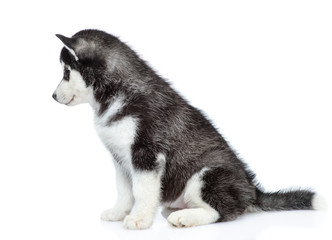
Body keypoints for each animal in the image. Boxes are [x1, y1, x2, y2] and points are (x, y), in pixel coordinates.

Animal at [53, 29, 320, 229]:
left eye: (66, 72)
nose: (52, 96)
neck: (117, 93)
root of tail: (253, 191)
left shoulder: (146, 155)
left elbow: (142, 190)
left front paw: (139, 218)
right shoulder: (120, 158)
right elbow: (125, 189)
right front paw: (120, 212)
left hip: (207, 175)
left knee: (222, 212)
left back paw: (185, 217)